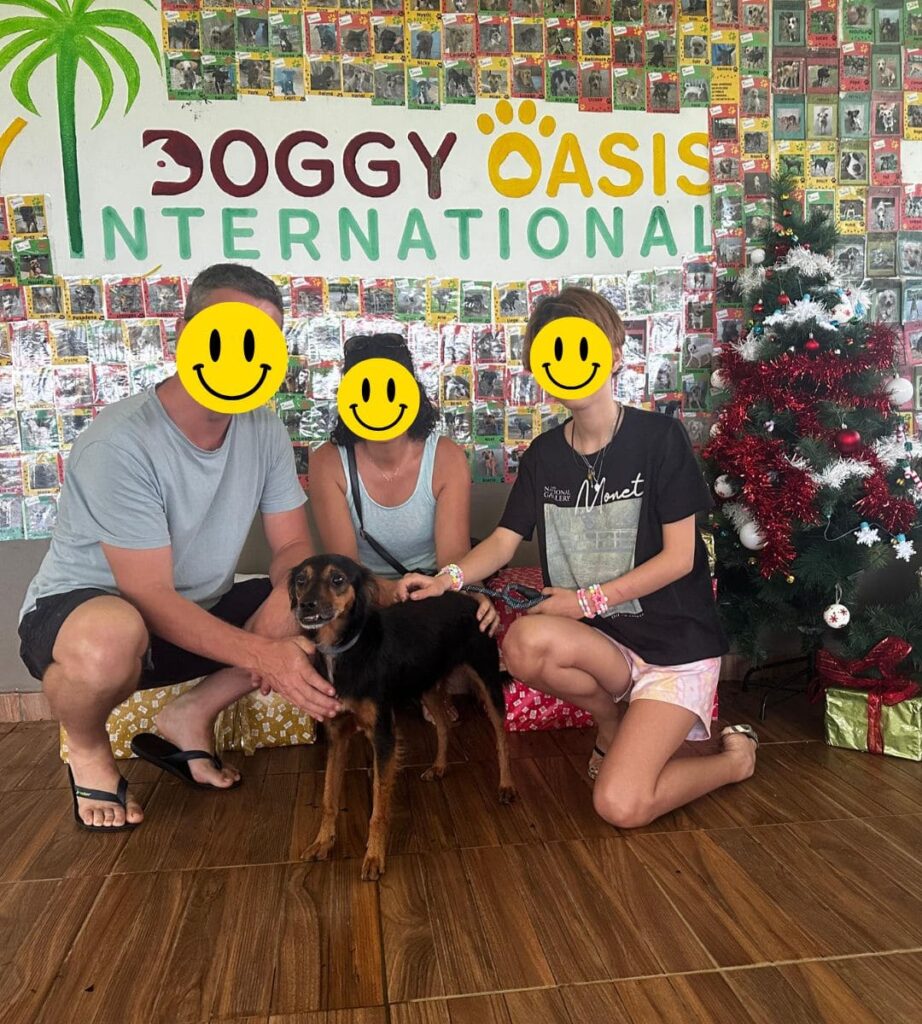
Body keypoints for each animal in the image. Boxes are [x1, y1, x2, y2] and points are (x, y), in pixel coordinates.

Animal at [292, 555, 515, 881]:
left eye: (337, 579)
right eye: (300, 580)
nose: (306, 605)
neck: (346, 647)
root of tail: (467, 598)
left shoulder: (384, 735)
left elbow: (379, 810)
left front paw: (374, 856)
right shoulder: (337, 735)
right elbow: (328, 797)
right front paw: (322, 842)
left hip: (486, 678)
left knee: (501, 735)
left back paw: (506, 785)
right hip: (427, 684)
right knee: (444, 726)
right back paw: (439, 767)